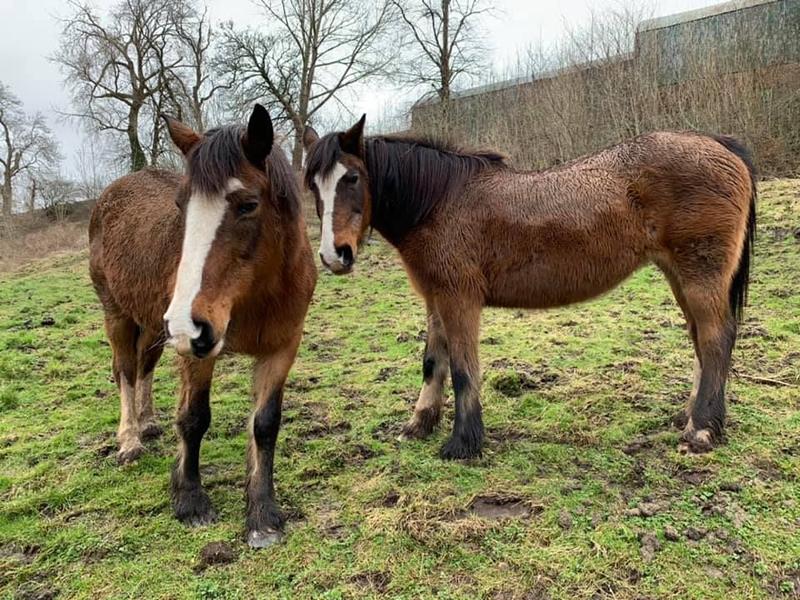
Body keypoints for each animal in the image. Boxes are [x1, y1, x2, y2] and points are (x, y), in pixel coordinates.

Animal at [87, 105, 312, 548]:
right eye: (181, 205)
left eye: (248, 204)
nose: (184, 322)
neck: (254, 293)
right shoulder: (194, 349)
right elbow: (193, 419)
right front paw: (190, 501)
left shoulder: (282, 348)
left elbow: (265, 424)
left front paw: (263, 514)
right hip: (120, 315)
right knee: (126, 371)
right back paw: (130, 440)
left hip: (152, 326)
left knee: (144, 366)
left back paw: (148, 422)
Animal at [304, 119, 752, 462]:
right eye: (313, 186)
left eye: (353, 177)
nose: (334, 255)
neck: (439, 201)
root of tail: (719, 143)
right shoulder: (435, 298)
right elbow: (434, 362)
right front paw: (419, 424)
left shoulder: (458, 299)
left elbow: (464, 369)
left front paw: (463, 443)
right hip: (680, 275)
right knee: (700, 339)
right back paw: (692, 416)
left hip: (700, 275)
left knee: (715, 339)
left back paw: (701, 431)